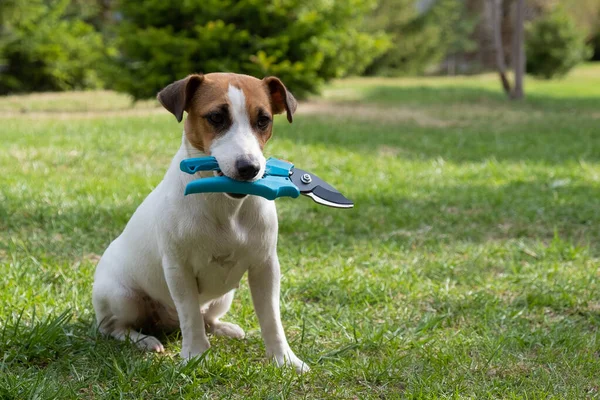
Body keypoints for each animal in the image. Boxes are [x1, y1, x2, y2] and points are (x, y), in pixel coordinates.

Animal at [94, 73, 310, 374]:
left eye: (263, 120)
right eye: (216, 117)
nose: (249, 168)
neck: (226, 206)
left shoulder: (265, 266)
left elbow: (272, 320)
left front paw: (285, 359)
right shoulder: (178, 269)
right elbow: (190, 317)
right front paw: (195, 355)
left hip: (223, 298)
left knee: (207, 317)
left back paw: (225, 328)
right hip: (122, 297)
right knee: (115, 327)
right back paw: (143, 340)